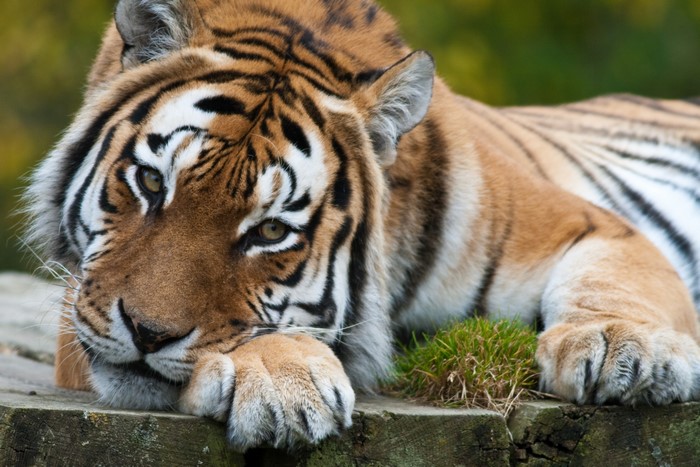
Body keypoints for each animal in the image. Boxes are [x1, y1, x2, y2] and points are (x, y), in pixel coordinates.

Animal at [24, 0, 700, 451]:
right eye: (151, 183)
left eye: (270, 232)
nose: (147, 333)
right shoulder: (77, 308)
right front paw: (283, 379)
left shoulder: (590, 223)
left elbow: (614, 282)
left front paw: (623, 349)